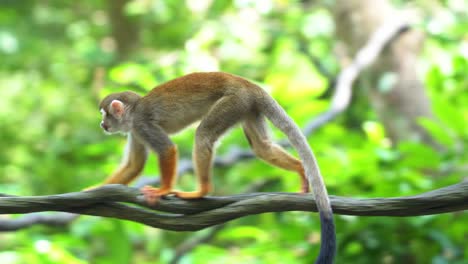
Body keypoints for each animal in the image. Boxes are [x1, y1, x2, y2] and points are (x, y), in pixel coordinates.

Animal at [97, 72, 334, 264]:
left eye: (104, 114)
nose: (102, 125)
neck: (132, 113)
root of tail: (247, 83)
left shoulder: (141, 124)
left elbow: (167, 149)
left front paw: (163, 190)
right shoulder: (135, 131)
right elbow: (134, 165)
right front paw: (93, 193)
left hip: (233, 101)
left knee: (203, 135)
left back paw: (201, 191)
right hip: (247, 106)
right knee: (262, 147)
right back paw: (300, 169)